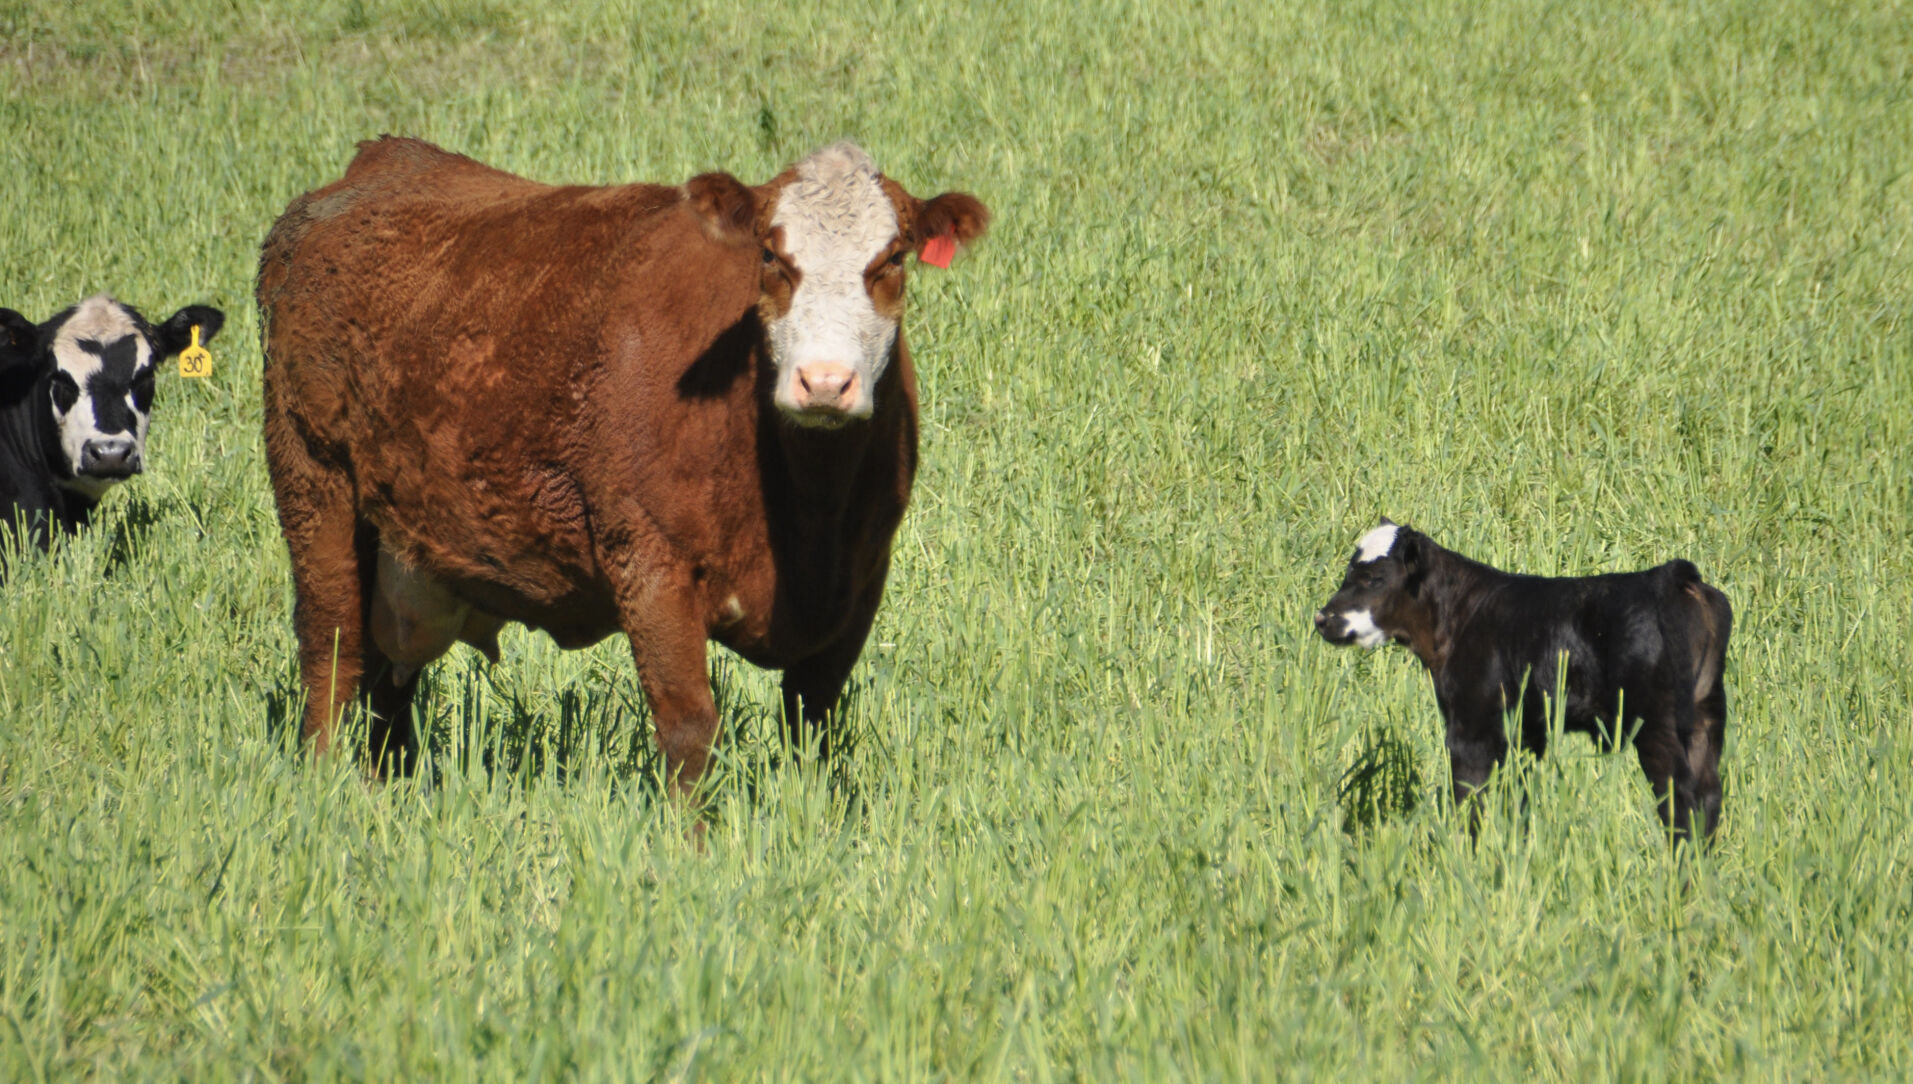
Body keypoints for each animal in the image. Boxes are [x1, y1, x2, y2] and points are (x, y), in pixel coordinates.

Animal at [256, 136, 988, 786]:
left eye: (892, 258)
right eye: (771, 256)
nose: (825, 382)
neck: (807, 510)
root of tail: (376, 165)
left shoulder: (860, 580)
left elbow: (812, 724)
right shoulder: (649, 561)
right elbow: (689, 729)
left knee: (388, 685)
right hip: (312, 480)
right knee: (332, 650)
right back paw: (324, 788)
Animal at [1313, 519, 1732, 846]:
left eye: (1375, 579)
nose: (1322, 618)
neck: (1458, 617)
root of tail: (1671, 575)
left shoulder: (1472, 728)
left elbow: (1469, 800)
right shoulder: (1525, 733)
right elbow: (1517, 801)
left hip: (1657, 725)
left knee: (1680, 801)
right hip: (1706, 717)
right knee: (1709, 797)